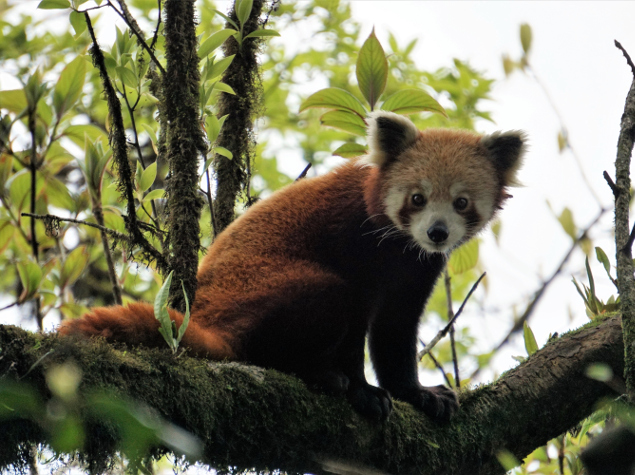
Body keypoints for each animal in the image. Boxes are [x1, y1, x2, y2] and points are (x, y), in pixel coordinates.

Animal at [60, 112, 528, 424]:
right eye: (418, 198)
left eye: (461, 203)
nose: (436, 232)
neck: (398, 248)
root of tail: (206, 319)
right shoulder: (354, 242)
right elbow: (358, 328)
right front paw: (363, 390)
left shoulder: (415, 271)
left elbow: (395, 331)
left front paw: (416, 393)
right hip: (268, 293)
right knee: (324, 300)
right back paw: (320, 374)